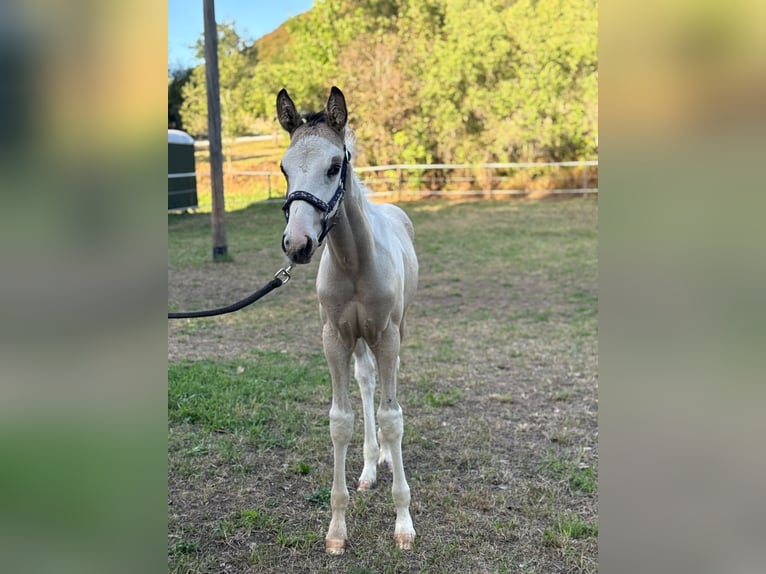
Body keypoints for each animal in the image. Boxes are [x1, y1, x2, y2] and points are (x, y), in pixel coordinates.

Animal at [276, 86, 419, 555]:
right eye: (283, 168)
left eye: (334, 165)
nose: (297, 244)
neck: (355, 260)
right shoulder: (335, 337)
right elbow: (341, 420)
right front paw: (336, 530)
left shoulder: (388, 335)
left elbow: (393, 417)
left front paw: (404, 523)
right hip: (359, 339)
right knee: (367, 381)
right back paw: (370, 467)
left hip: (393, 330)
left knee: (386, 391)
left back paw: (386, 459)